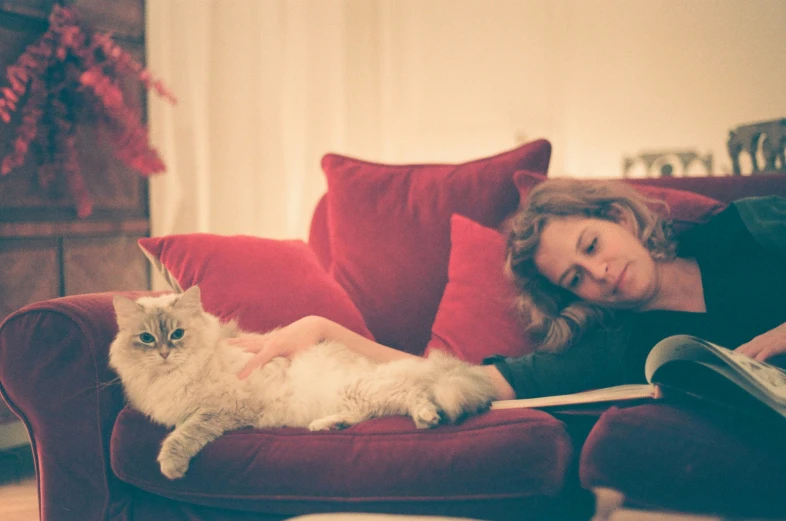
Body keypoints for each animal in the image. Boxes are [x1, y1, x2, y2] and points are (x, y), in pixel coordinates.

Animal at [108, 284, 494, 480]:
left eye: (177, 334)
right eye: (146, 339)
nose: (163, 354)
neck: (175, 376)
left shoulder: (222, 409)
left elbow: (183, 434)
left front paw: (171, 467)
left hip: (367, 387)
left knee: (414, 395)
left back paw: (427, 418)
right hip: (357, 396)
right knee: (365, 413)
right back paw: (327, 425)